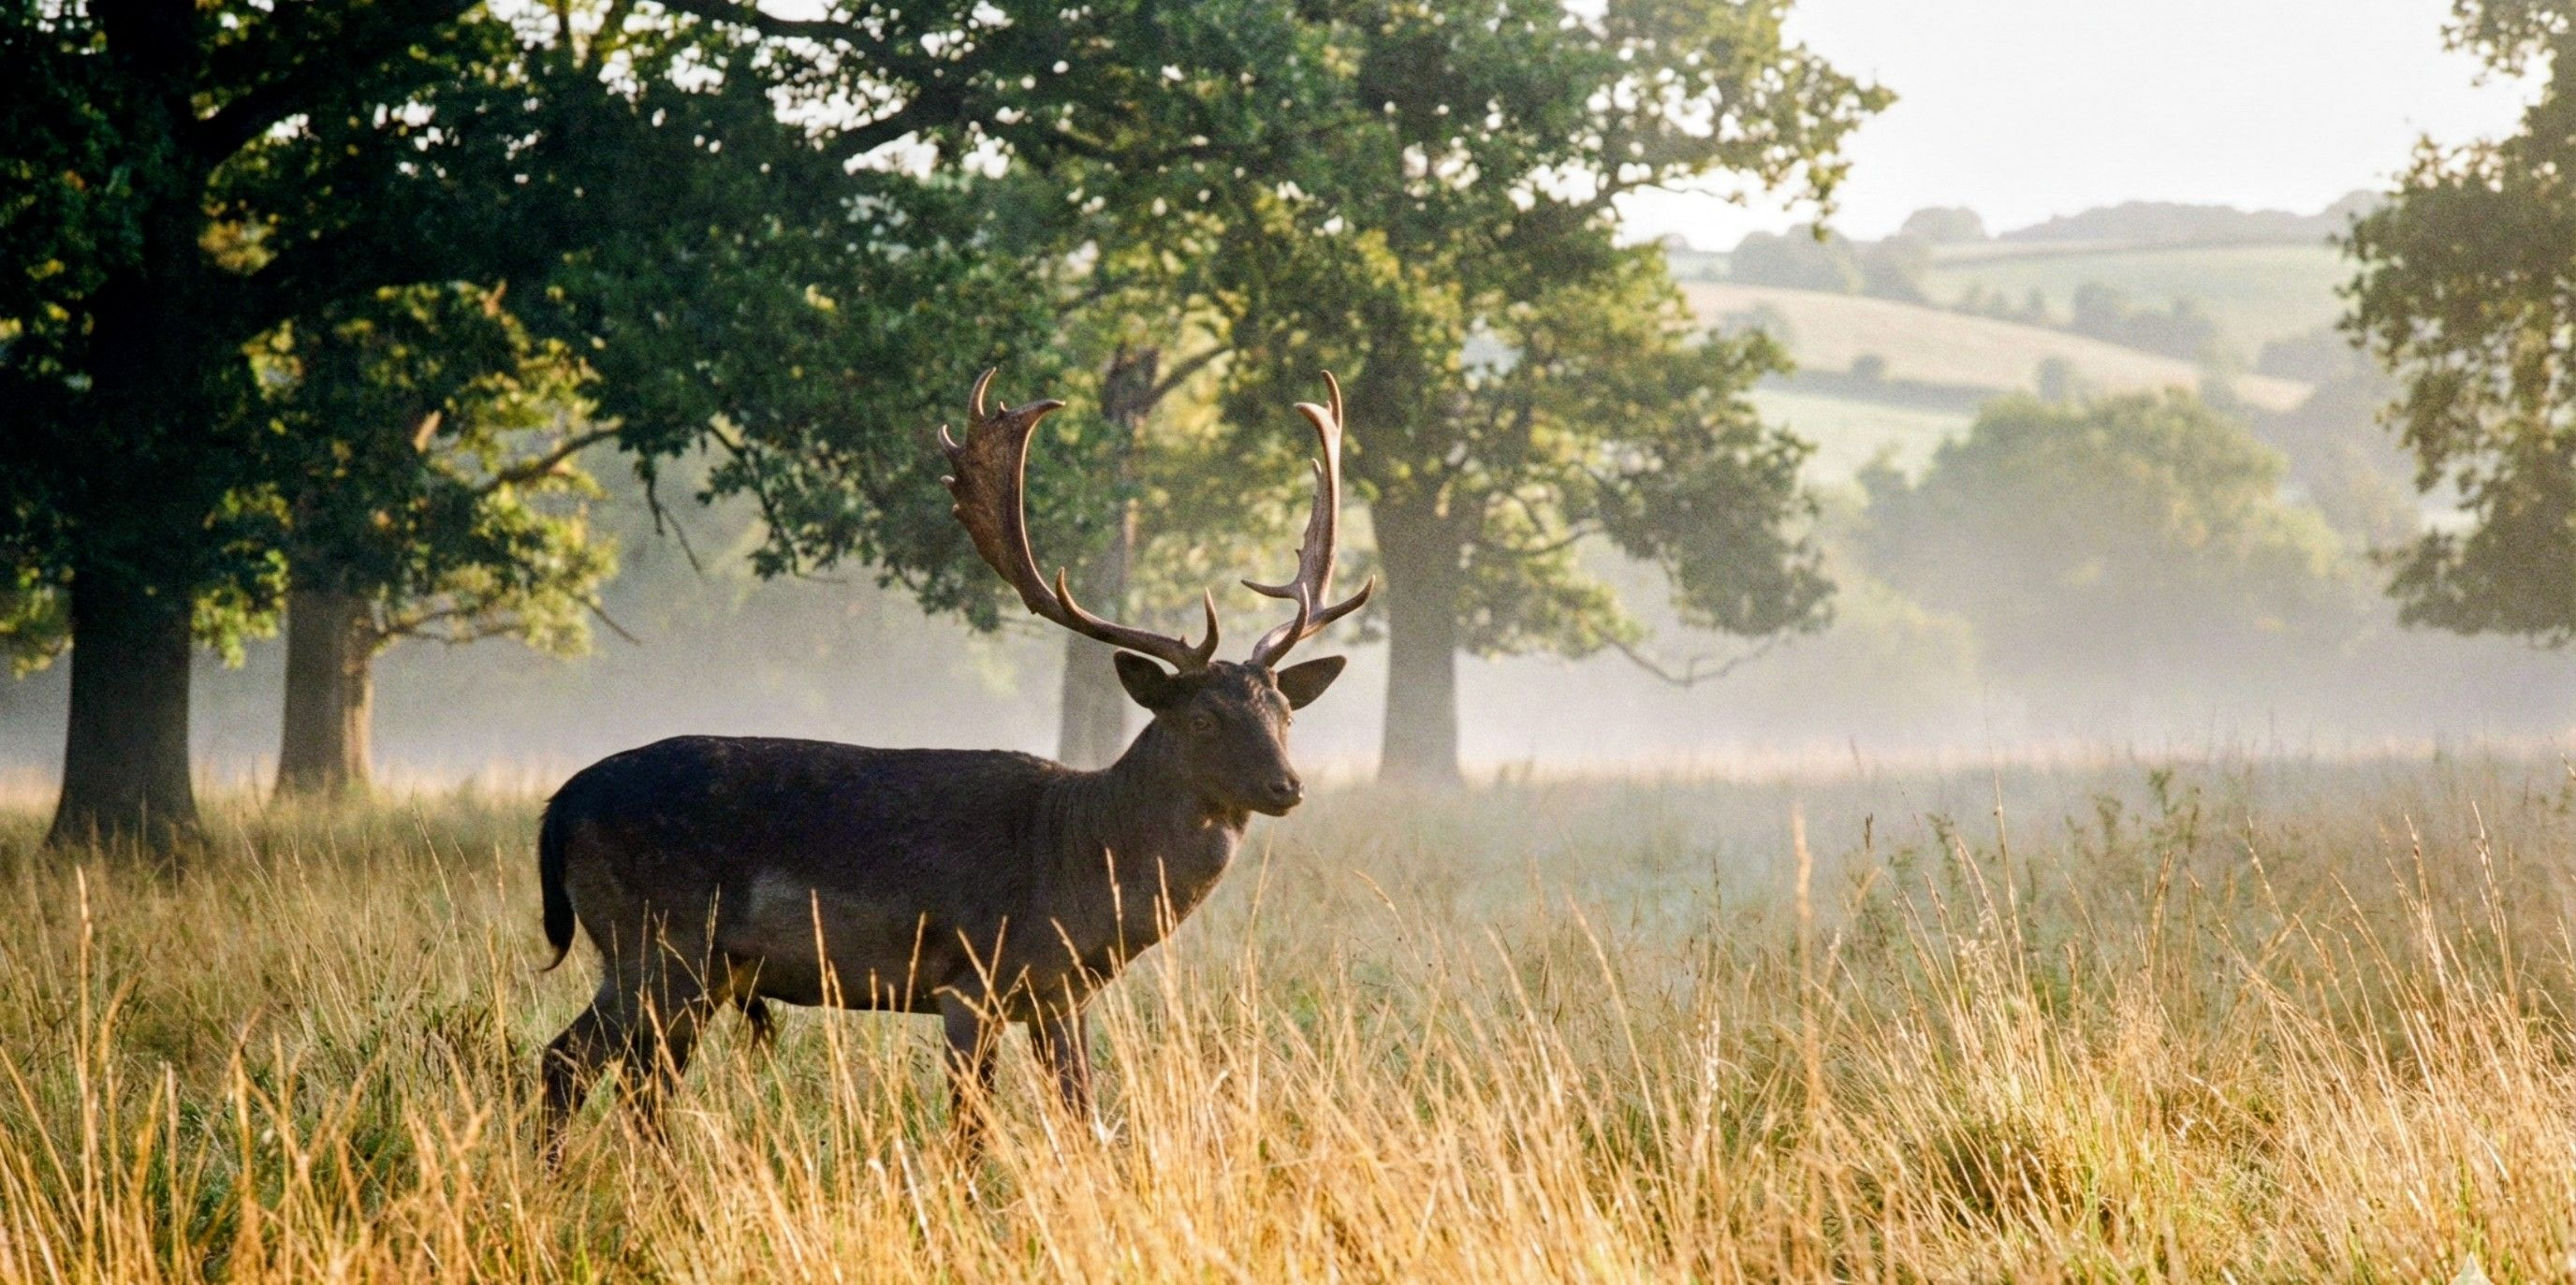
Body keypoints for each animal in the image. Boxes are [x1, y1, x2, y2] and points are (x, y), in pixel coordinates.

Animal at [533, 369, 1370, 1161]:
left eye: (1286, 713)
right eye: (1201, 718)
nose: (1287, 786)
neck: (1080, 861)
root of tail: (559, 804)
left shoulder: (1062, 994)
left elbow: (1083, 1116)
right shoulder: (969, 980)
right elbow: (969, 1132)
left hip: (684, 965)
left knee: (613, 1075)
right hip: (655, 941)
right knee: (588, 1066)